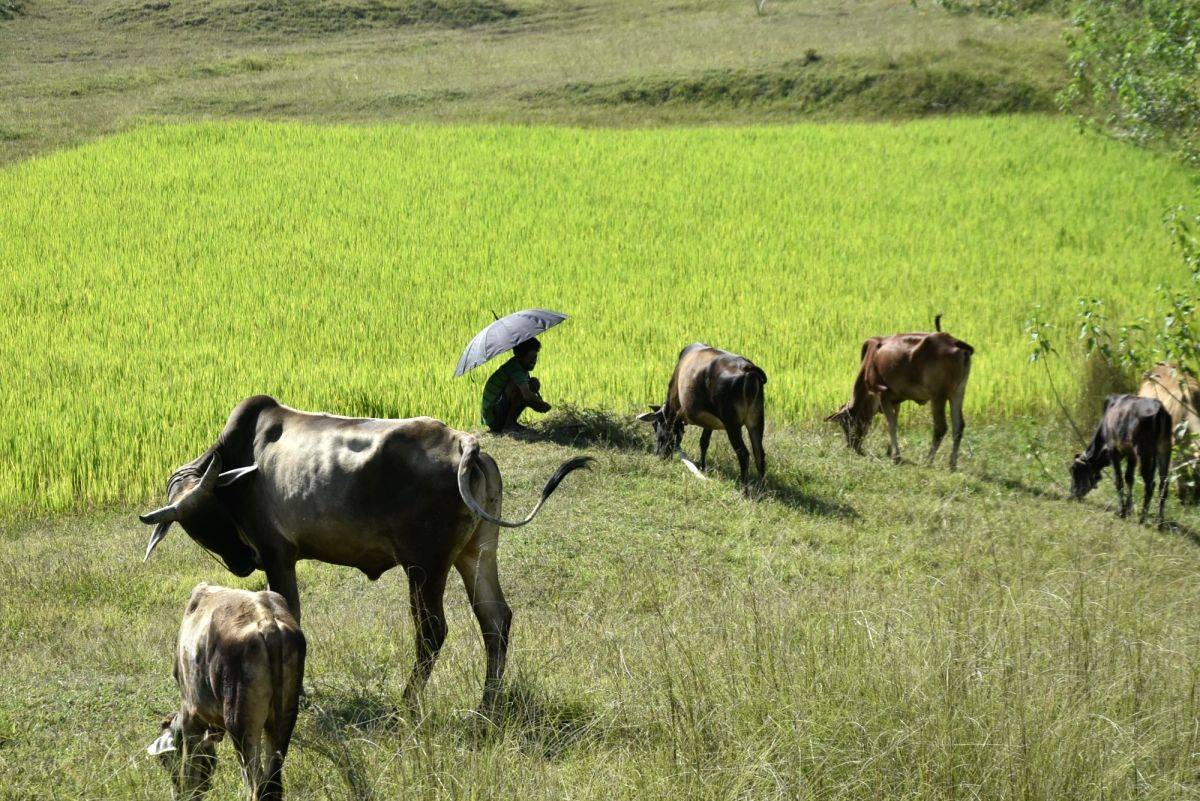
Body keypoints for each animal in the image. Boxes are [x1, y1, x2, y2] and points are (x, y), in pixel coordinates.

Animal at [139, 396, 591, 719]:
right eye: (192, 525)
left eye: (211, 512)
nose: (241, 562)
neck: (242, 458)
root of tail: (465, 444)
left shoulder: (278, 555)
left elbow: (293, 615)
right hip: (476, 553)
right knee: (495, 619)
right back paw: (487, 707)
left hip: (424, 566)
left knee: (432, 632)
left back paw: (407, 704)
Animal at [148, 583, 305, 801]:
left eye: (164, 759)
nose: (176, 793)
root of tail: (268, 622)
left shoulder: (190, 719)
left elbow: (189, 774)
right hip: (283, 719)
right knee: (272, 784)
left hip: (240, 726)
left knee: (256, 785)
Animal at [637, 343, 767, 487]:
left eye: (654, 424)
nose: (657, 453)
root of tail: (746, 368)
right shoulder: (708, 422)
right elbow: (704, 442)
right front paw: (703, 467)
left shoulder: (673, 408)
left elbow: (668, 435)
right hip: (756, 421)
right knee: (759, 454)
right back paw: (761, 489)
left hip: (732, 424)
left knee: (743, 454)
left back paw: (744, 489)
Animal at [825, 316, 973, 470]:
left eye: (846, 423)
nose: (853, 446)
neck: (870, 361)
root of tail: (955, 342)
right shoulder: (895, 399)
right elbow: (894, 421)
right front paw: (890, 451)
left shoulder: (882, 393)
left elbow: (891, 424)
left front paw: (896, 457)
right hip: (958, 392)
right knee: (958, 426)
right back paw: (952, 464)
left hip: (938, 396)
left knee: (940, 428)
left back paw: (928, 461)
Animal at [1070, 394, 1172, 527]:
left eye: (1074, 471)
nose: (1072, 495)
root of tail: (1160, 410)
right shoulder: (1130, 454)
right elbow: (1129, 478)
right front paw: (1129, 509)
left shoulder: (1114, 449)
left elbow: (1119, 480)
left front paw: (1122, 512)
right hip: (1165, 449)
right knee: (1164, 483)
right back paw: (1159, 522)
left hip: (1143, 451)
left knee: (1150, 484)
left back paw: (1142, 519)